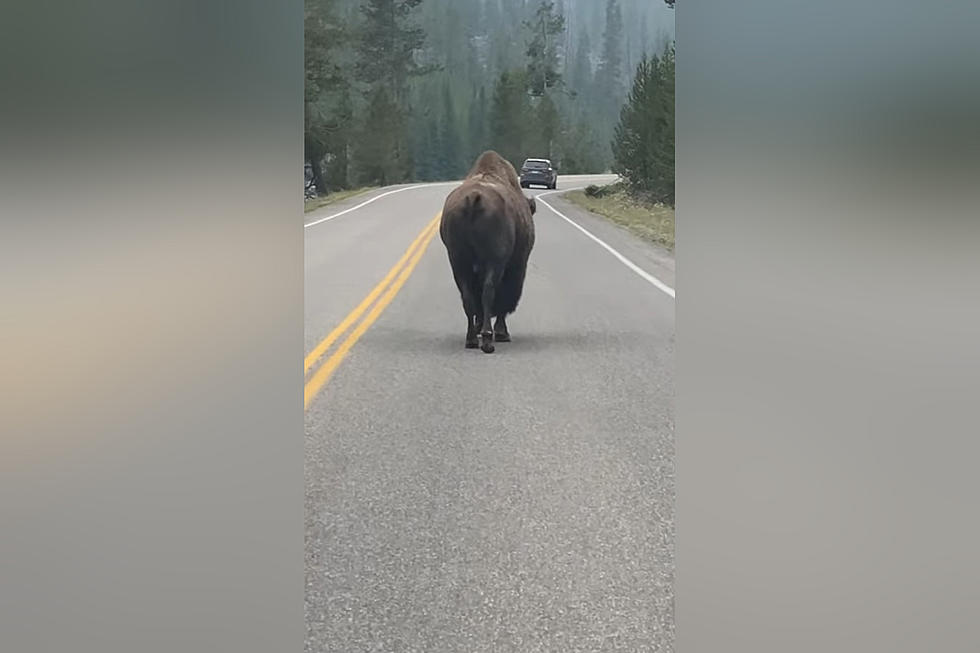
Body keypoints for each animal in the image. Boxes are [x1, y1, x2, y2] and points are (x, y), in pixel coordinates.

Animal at [442, 151, 540, 354]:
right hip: (495, 261)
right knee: (489, 292)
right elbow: (504, 297)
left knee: (468, 297)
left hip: (458, 260)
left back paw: (472, 339)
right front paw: (502, 333)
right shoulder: (515, 265)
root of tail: (474, 197)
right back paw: (488, 340)